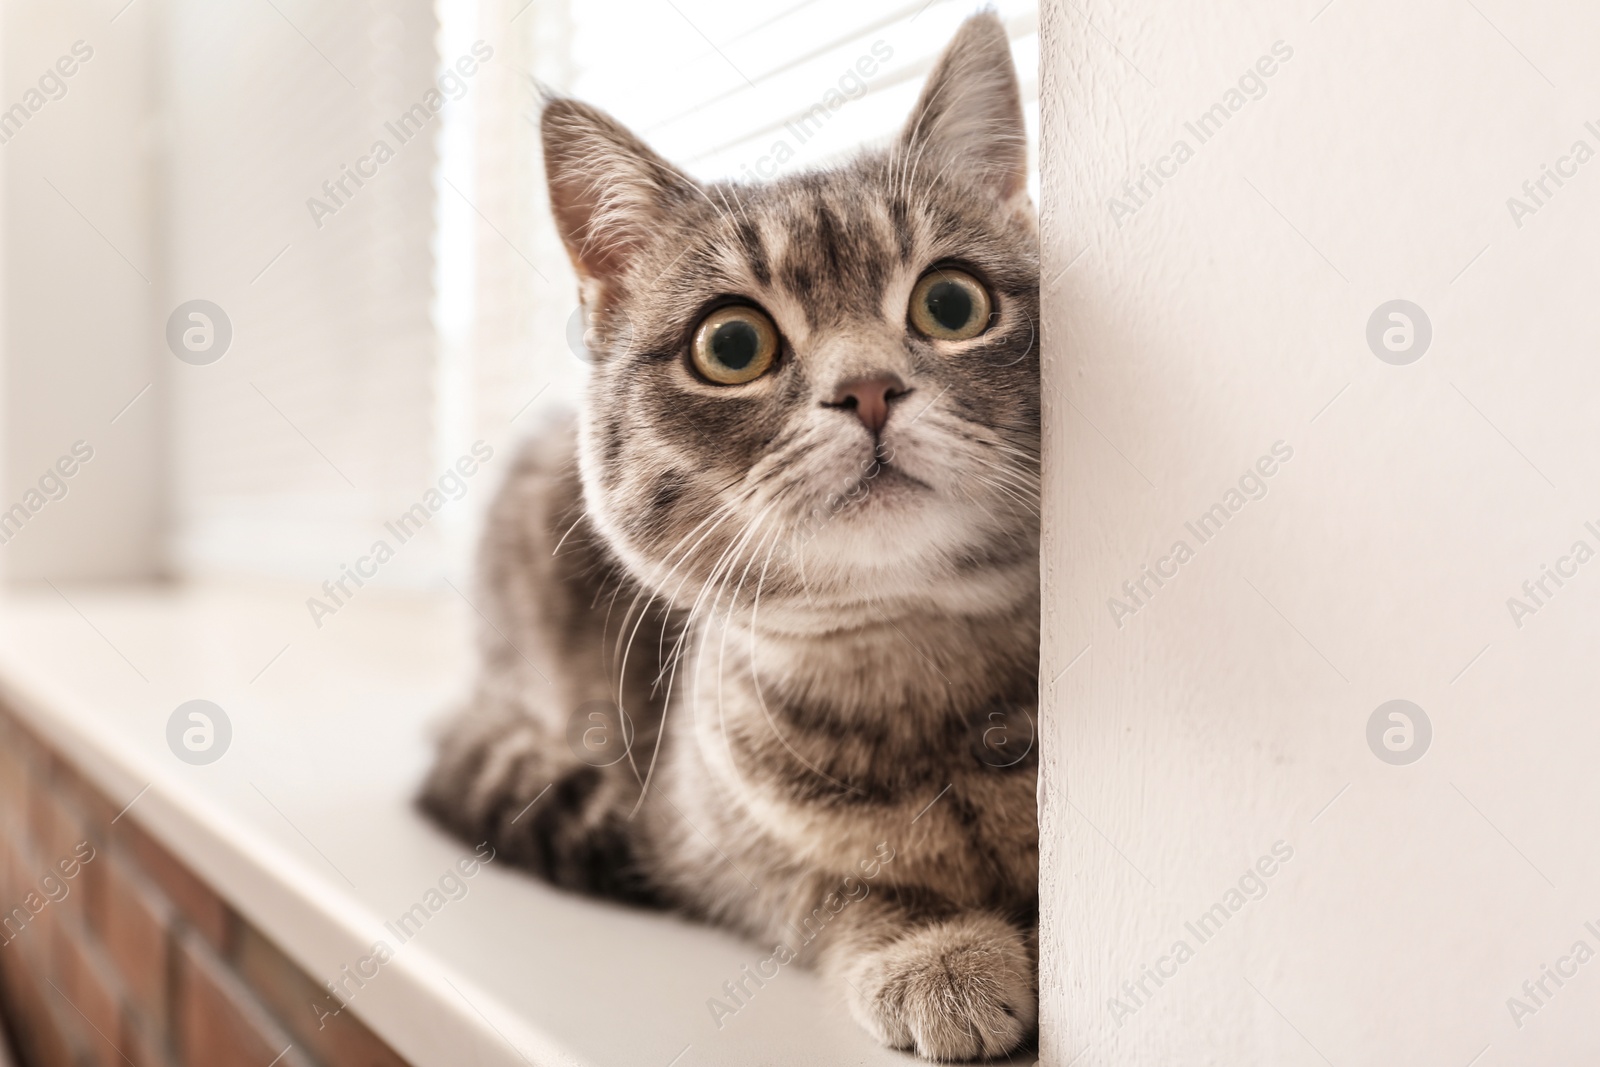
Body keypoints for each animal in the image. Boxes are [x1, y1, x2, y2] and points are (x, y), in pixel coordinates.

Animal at [419, 14, 1043, 1062]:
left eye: (951, 304)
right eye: (733, 345)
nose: (867, 387)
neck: (914, 664)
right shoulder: (698, 842)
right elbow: (835, 884)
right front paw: (939, 949)